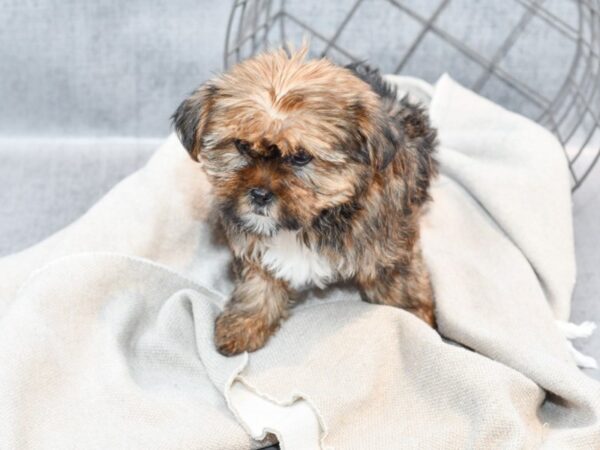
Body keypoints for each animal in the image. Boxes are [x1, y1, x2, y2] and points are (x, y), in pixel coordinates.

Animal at [171, 46, 438, 356]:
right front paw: (245, 322)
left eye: (300, 156)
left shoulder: (389, 248)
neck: (311, 221)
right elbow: (258, 282)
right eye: (242, 146)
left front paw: (419, 324)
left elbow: (402, 286)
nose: (259, 194)